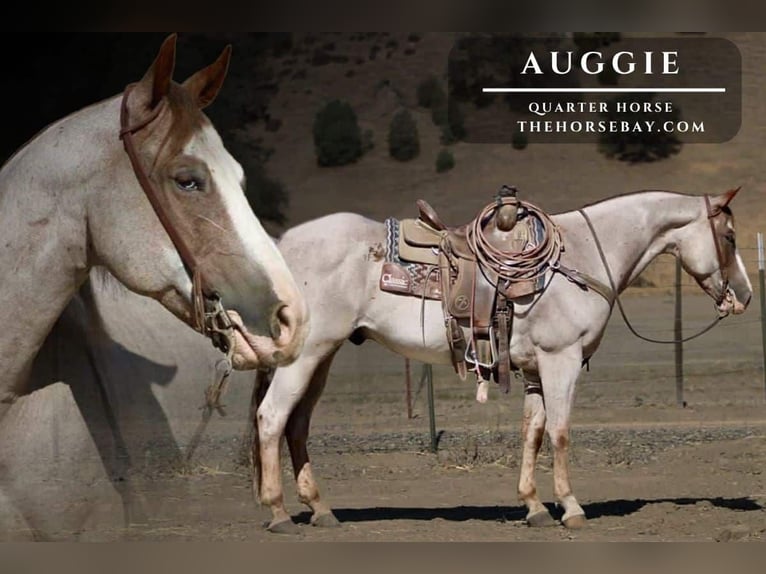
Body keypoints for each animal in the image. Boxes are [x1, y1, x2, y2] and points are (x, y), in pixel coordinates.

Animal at [252, 189, 752, 533]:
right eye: (729, 237)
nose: (744, 297)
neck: (583, 257)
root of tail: (282, 244)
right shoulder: (561, 361)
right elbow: (560, 433)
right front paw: (571, 508)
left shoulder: (534, 370)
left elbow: (532, 432)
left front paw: (534, 506)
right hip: (306, 355)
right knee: (272, 417)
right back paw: (278, 513)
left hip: (322, 357)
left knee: (297, 425)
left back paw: (320, 510)